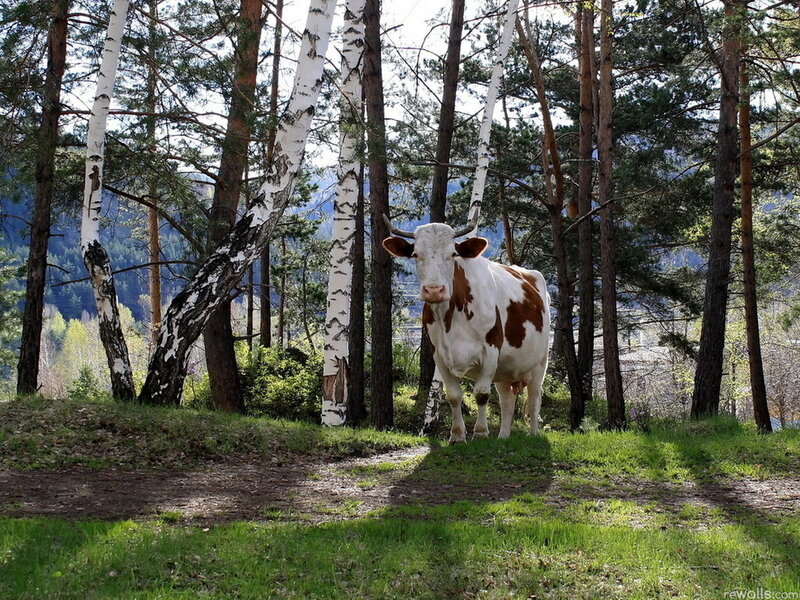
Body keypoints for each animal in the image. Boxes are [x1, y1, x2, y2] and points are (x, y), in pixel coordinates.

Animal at [382, 215, 550, 443]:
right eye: (416, 254)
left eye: (453, 254)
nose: (434, 290)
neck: (451, 320)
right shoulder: (439, 355)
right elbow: (453, 395)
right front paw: (457, 435)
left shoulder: (491, 350)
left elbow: (481, 393)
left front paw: (480, 433)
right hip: (505, 368)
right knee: (507, 400)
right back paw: (503, 437)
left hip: (539, 362)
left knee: (534, 398)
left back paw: (533, 434)